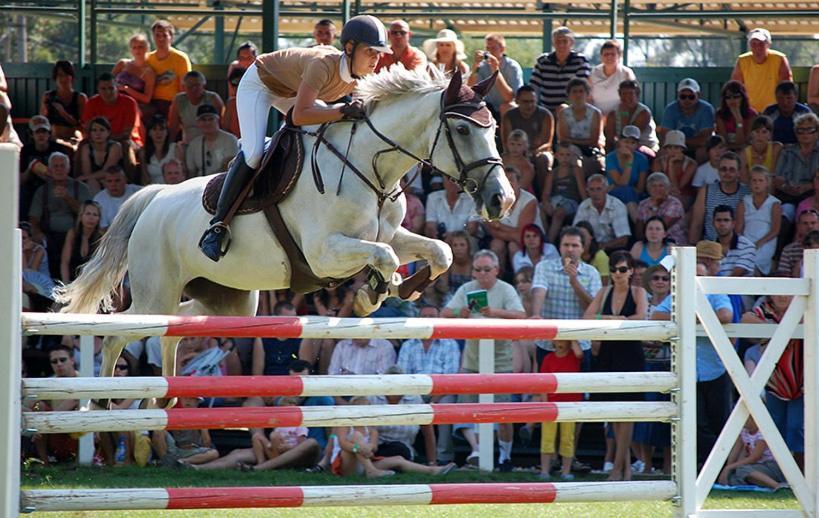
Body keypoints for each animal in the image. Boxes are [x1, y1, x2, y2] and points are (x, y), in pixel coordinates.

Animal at [57, 67, 516, 390]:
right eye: (462, 129)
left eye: (494, 128)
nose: (503, 200)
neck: (369, 166)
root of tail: (154, 198)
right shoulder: (325, 251)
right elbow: (384, 258)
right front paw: (373, 293)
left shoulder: (389, 235)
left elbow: (441, 251)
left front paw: (401, 288)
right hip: (158, 291)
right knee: (120, 333)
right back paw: (101, 409)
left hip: (230, 303)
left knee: (178, 328)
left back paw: (161, 399)